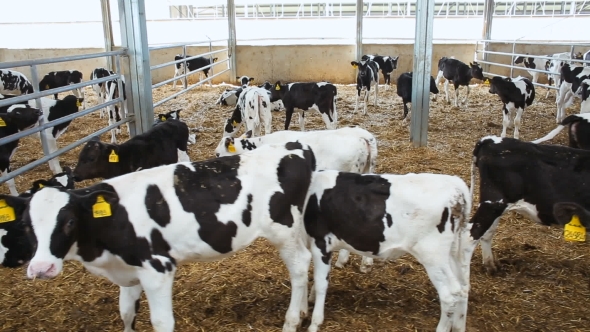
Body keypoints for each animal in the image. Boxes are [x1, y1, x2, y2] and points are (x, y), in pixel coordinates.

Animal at [9, 142, 316, 332]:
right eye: (25, 225)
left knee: (300, 265)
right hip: (295, 227)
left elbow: (161, 322)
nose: (41, 268)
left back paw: (291, 321)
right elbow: (126, 313)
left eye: (70, 221)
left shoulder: (157, 268)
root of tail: (295, 147)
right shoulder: (129, 268)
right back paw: (302, 311)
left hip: (282, 229)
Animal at [306, 171, 476, 332]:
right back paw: (459, 326)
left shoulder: (320, 242)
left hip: (433, 255)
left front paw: (314, 323)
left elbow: (321, 282)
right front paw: (311, 298)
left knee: (450, 295)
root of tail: (454, 183)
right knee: (462, 288)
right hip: (452, 252)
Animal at [472, 136, 590, 274]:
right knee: (473, 233)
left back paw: (491, 267)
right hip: (493, 203)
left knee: (487, 233)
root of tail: (490, 140)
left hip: (496, 206)